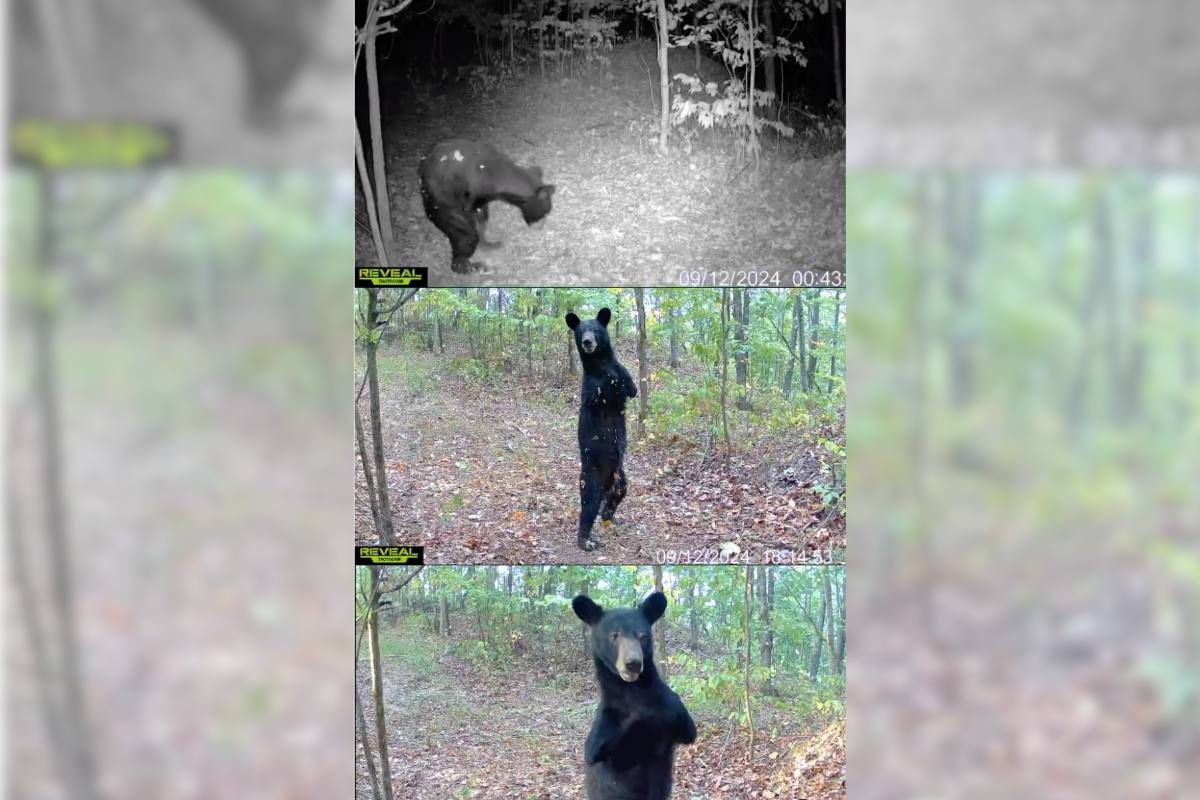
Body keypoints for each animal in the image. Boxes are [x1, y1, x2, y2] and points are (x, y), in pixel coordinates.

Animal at [418, 139, 556, 273]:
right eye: (546, 210)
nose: (540, 227)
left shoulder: (483, 199)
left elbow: (482, 220)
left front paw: (487, 243)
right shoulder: (471, 195)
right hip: (443, 209)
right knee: (466, 238)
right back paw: (476, 267)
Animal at [566, 308, 638, 551]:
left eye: (595, 330)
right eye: (581, 332)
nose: (588, 342)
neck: (600, 363)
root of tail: (608, 481)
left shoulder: (623, 375)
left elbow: (631, 387)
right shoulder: (590, 388)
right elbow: (598, 394)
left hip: (620, 476)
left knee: (619, 493)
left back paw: (609, 514)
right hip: (592, 476)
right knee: (588, 506)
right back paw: (585, 540)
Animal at [572, 591, 697, 800]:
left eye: (642, 635)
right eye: (614, 635)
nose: (633, 663)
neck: (633, 691)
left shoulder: (673, 709)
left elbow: (686, 729)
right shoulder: (603, 734)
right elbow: (601, 751)